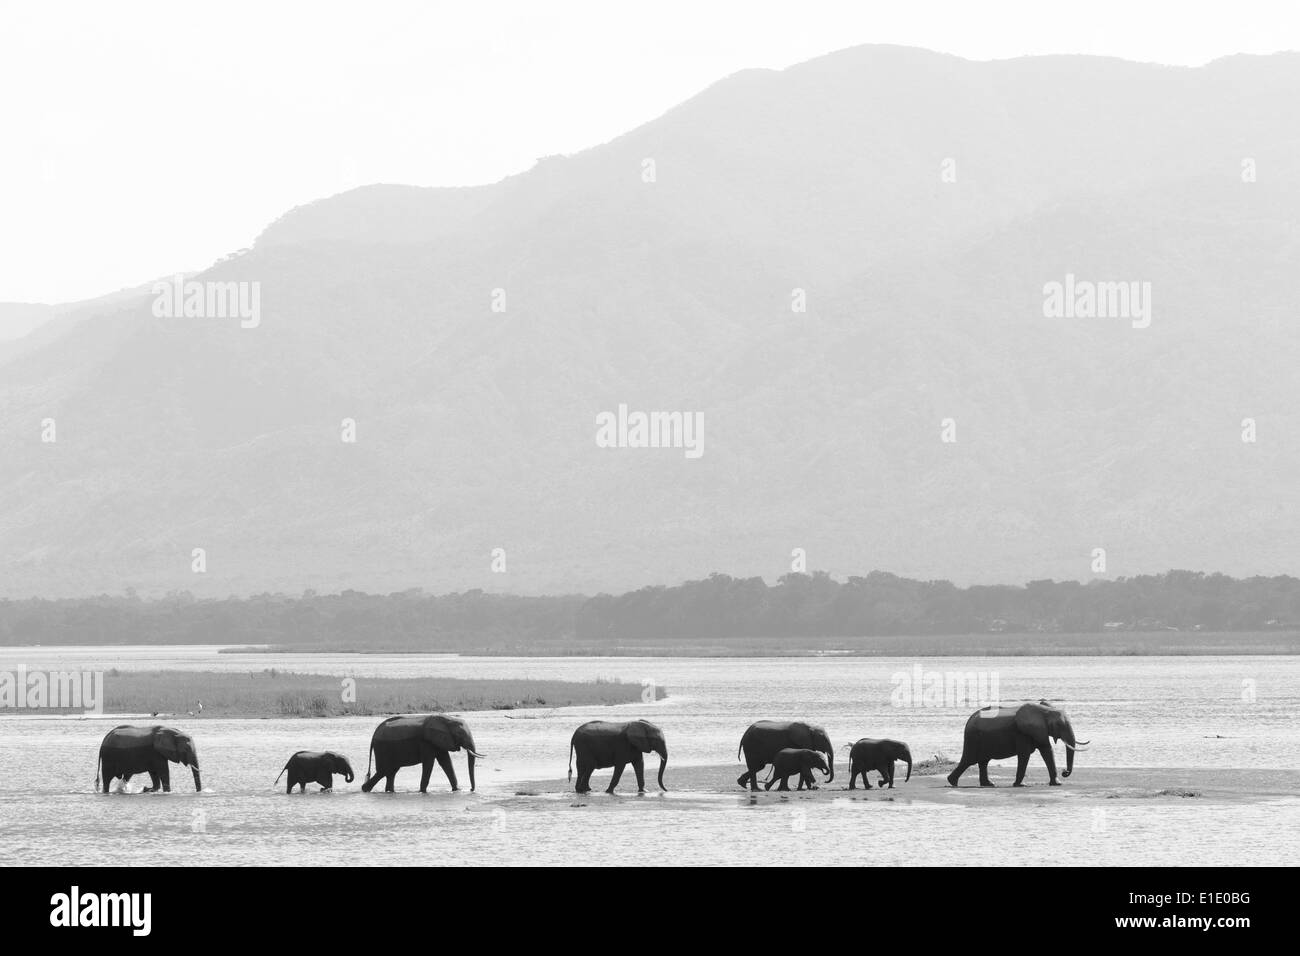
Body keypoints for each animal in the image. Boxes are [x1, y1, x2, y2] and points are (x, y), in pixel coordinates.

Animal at [946, 697, 1086, 790]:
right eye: (1059, 724)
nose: (1065, 772)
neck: (1045, 710)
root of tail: (969, 719)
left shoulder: (1038, 731)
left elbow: (1046, 750)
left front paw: (1057, 784)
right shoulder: (1022, 733)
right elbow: (1025, 754)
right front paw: (1021, 785)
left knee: (983, 761)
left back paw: (988, 784)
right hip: (973, 738)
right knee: (969, 760)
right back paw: (953, 782)